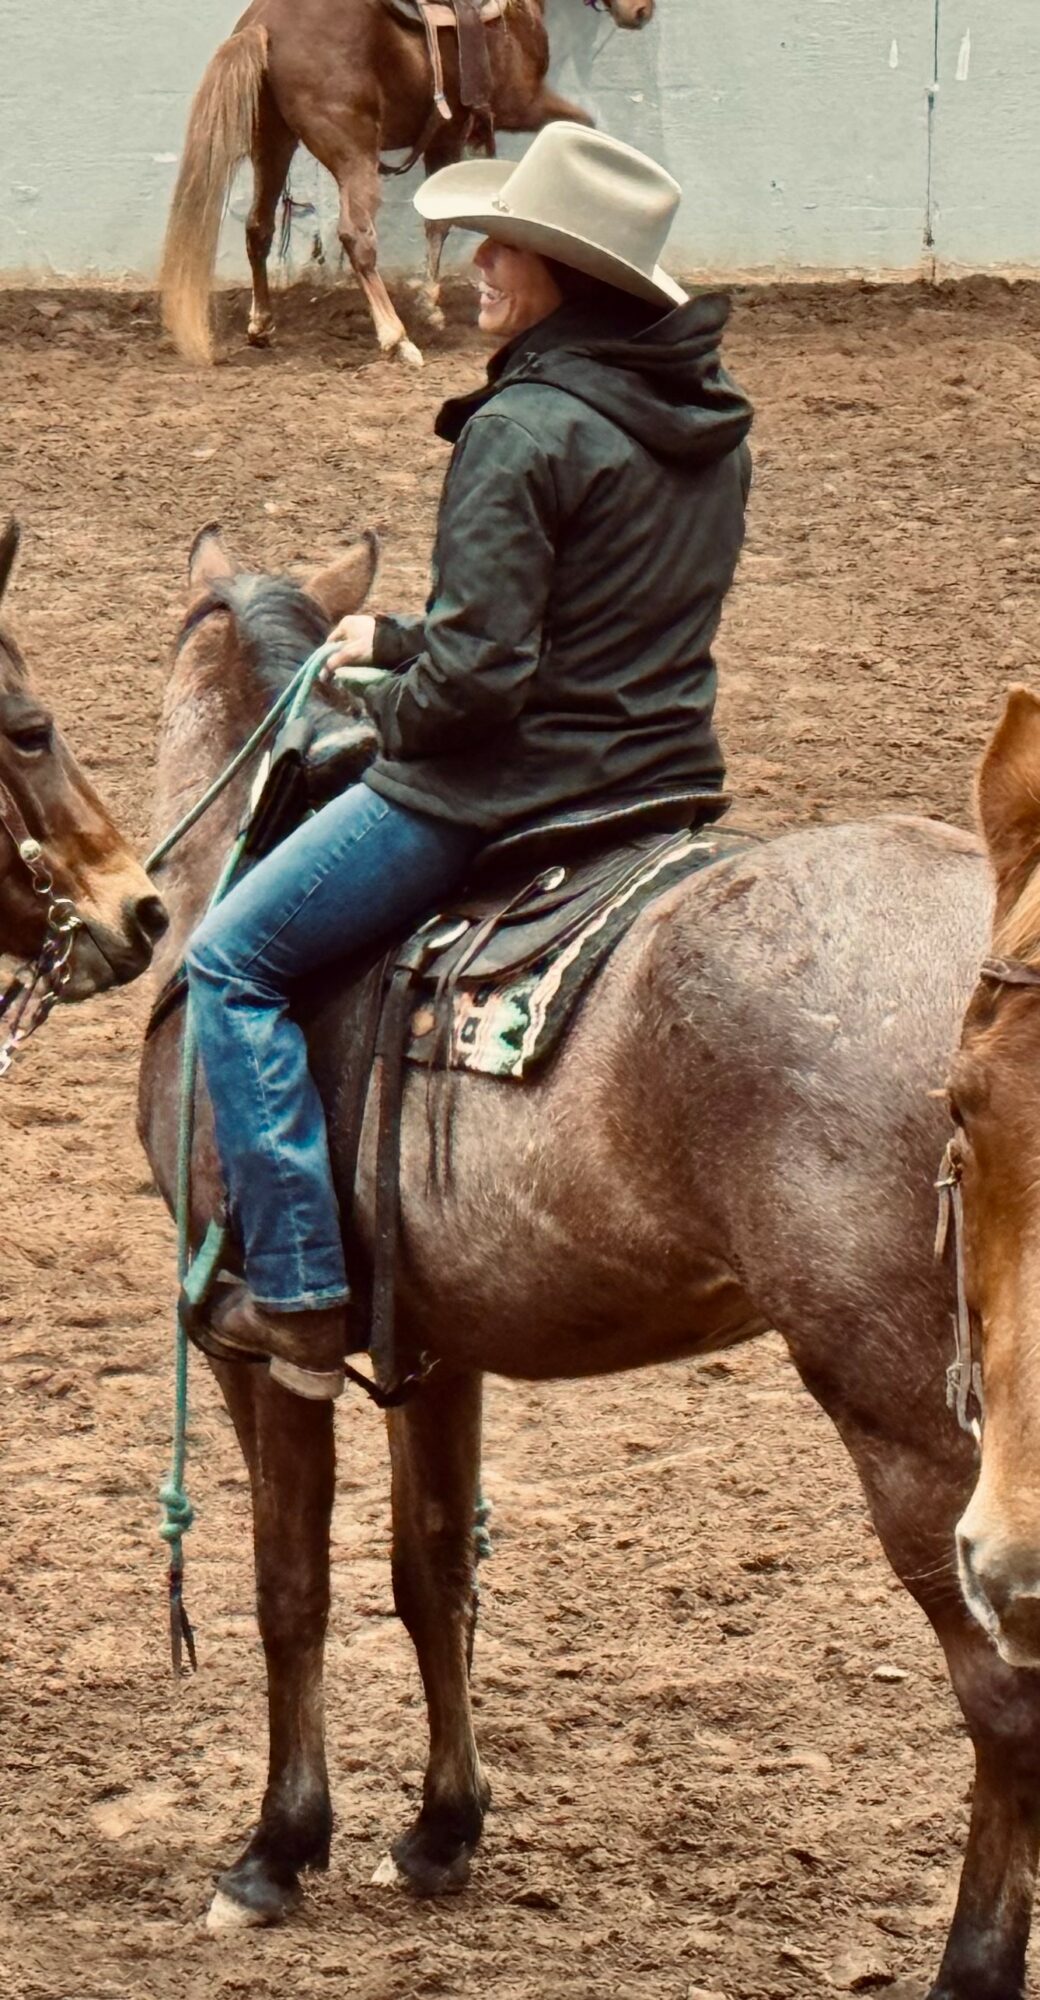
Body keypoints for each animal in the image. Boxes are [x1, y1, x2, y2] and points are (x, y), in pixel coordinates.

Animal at [137, 527, 1040, 2000]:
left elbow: (290, 1589)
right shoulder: (433, 1351)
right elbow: (430, 1572)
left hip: (921, 1436)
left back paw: (970, 1964)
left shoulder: (255, 1348)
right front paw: (439, 1830)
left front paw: (276, 1846)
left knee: (1004, 1695)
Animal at [159, 0, 650, 371]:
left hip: (273, 145)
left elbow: (437, 220)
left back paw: (261, 325)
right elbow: (583, 128)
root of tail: (264, 23)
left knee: (258, 227)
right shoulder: (521, 107)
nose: (641, 11)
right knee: (356, 237)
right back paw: (396, 338)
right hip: (352, 153)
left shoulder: (446, 136)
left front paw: (430, 302)